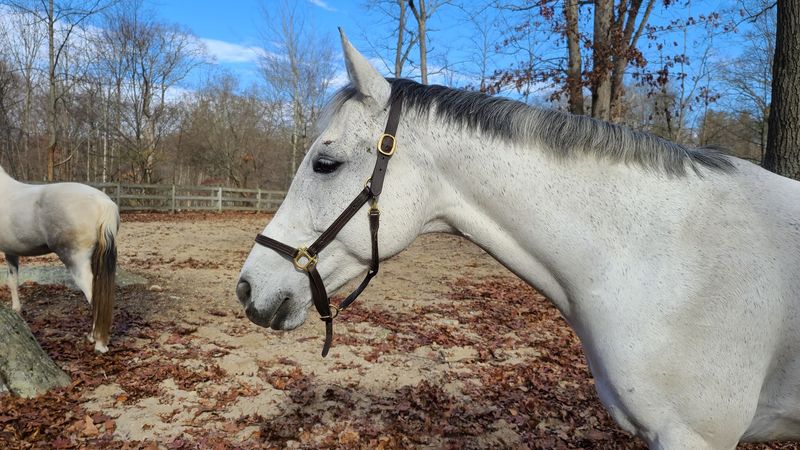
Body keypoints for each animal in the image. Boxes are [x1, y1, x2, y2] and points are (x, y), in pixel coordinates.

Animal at [0, 165, 118, 353]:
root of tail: (101, 201)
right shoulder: (11, 251)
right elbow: (12, 281)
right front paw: (16, 310)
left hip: (75, 260)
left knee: (93, 294)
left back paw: (98, 342)